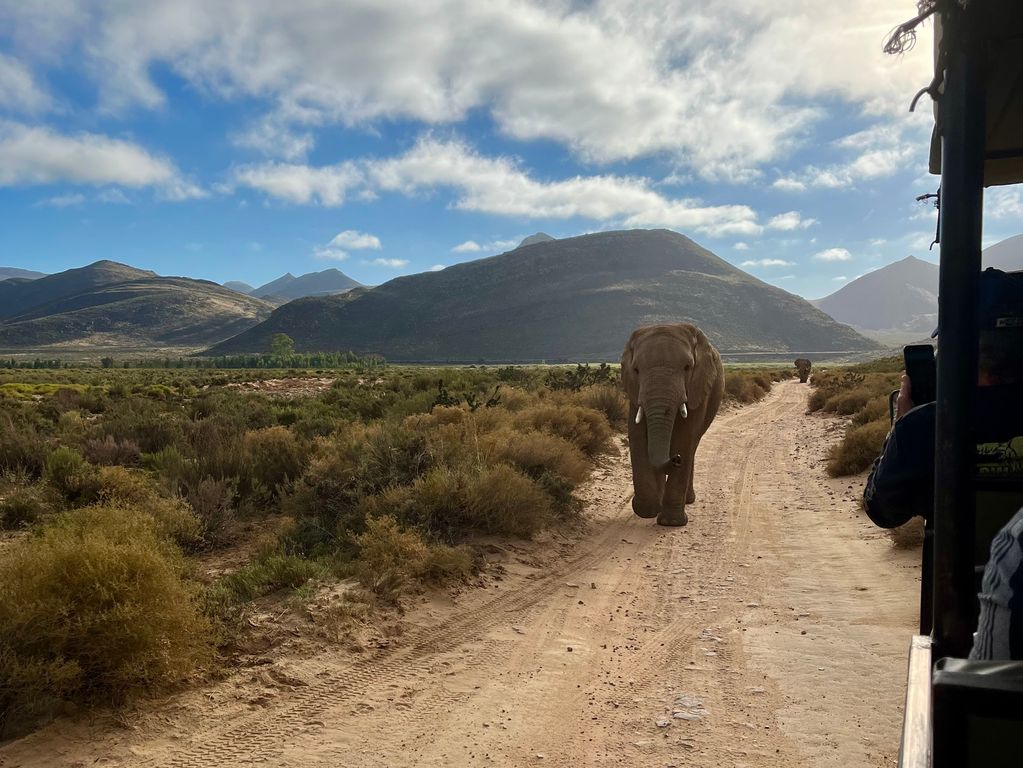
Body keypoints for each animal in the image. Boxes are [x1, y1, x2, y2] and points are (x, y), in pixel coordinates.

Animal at [617, 325, 724, 527]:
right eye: (636, 369)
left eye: (687, 367)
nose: (676, 459)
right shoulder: (635, 390)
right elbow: (637, 436)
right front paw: (648, 509)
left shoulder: (698, 387)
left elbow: (685, 437)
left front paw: (670, 523)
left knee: (693, 444)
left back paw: (687, 499)